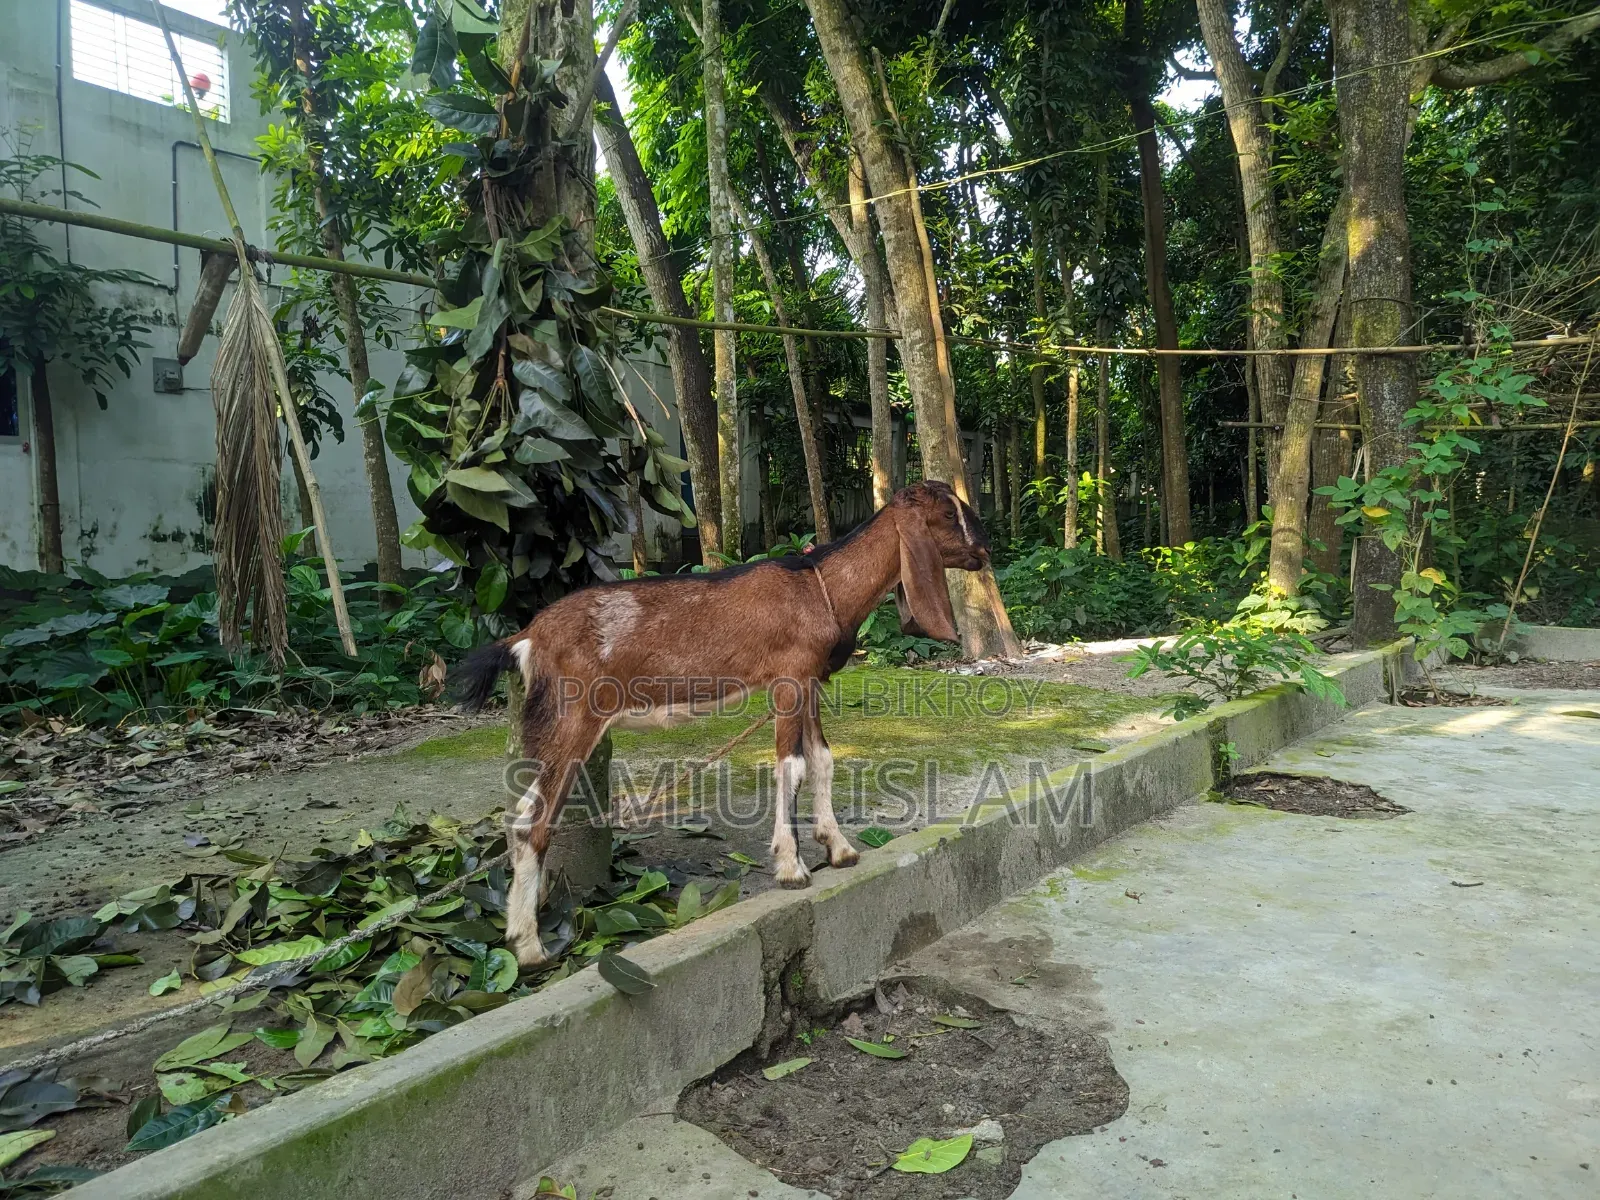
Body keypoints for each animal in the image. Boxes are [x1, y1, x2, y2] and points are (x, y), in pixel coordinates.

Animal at [453, 480, 990, 966]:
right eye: (949, 515)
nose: (984, 551)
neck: (820, 586)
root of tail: (528, 636)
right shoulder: (788, 681)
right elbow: (792, 765)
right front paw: (791, 867)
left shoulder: (809, 684)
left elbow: (823, 760)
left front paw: (838, 848)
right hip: (573, 715)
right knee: (534, 821)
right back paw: (530, 947)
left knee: (522, 813)